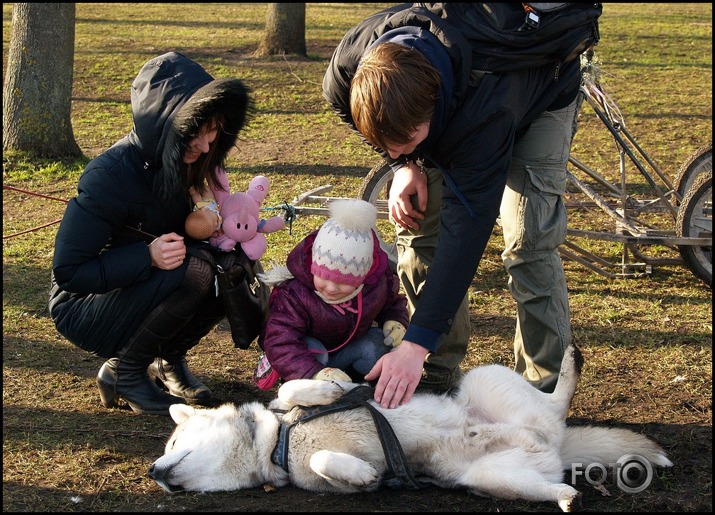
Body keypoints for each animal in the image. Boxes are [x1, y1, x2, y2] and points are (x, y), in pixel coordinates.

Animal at [147, 346, 672, 512]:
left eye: (174, 440)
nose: (154, 473)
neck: (279, 443)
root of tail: (554, 445)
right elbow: (331, 463)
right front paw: (363, 473)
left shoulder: (335, 385)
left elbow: (300, 386)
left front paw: (319, 394)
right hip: (493, 479)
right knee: (551, 480)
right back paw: (564, 497)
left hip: (484, 379)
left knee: (558, 402)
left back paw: (569, 363)